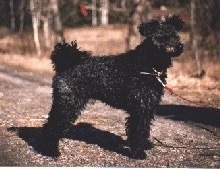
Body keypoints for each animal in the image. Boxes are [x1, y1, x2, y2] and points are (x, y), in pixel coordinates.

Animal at [42, 15, 183, 159]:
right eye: (162, 37)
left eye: (176, 35)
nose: (179, 46)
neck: (147, 65)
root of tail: (65, 63)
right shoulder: (140, 108)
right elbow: (137, 131)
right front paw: (138, 152)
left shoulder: (148, 108)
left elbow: (144, 129)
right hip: (68, 104)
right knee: (52, 127)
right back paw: (51, 151)